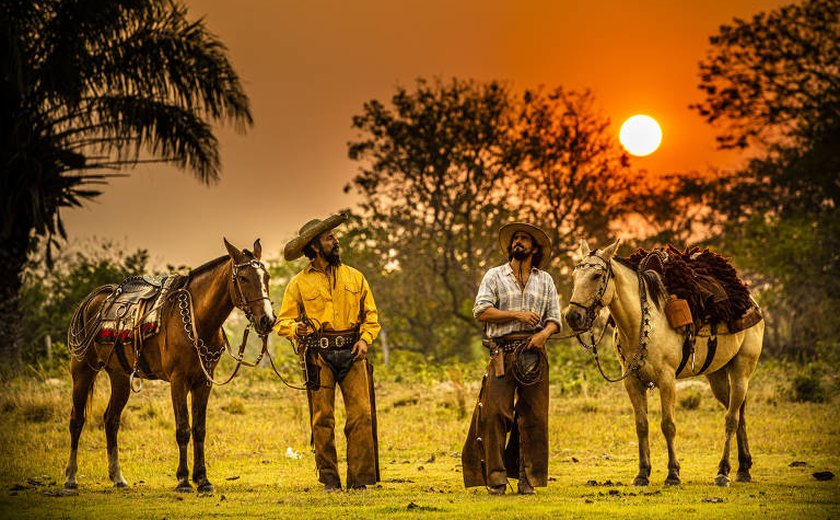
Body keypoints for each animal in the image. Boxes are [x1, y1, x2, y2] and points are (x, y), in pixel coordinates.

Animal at [66, 240, 276, 492]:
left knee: (111, 420)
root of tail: (93, 300)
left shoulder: (203, 382)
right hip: (82, 371)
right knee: (77, 420)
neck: (196, 319)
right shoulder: (178, 381)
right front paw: (184, 480)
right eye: (243, 278)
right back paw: (71, 478)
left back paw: (117, 477)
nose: (267, 320)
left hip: (120, 377)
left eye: (267, 277)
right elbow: (183, 429)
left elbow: (199, 430)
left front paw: (203, 480)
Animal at [560, 240, 764, 488]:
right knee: (739, 413)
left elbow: (668, 425)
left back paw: (723, 471)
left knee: (731, 418)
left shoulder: (667, 380)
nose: (573, 316)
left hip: (741, 370)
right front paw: (642, 473)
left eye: (597, 275)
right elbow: (641, 425)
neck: (642, 323)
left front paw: (673, 474)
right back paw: (743, 468)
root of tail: (751, 302)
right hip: (717, 376)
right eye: (574, 275)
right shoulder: (632, 382)